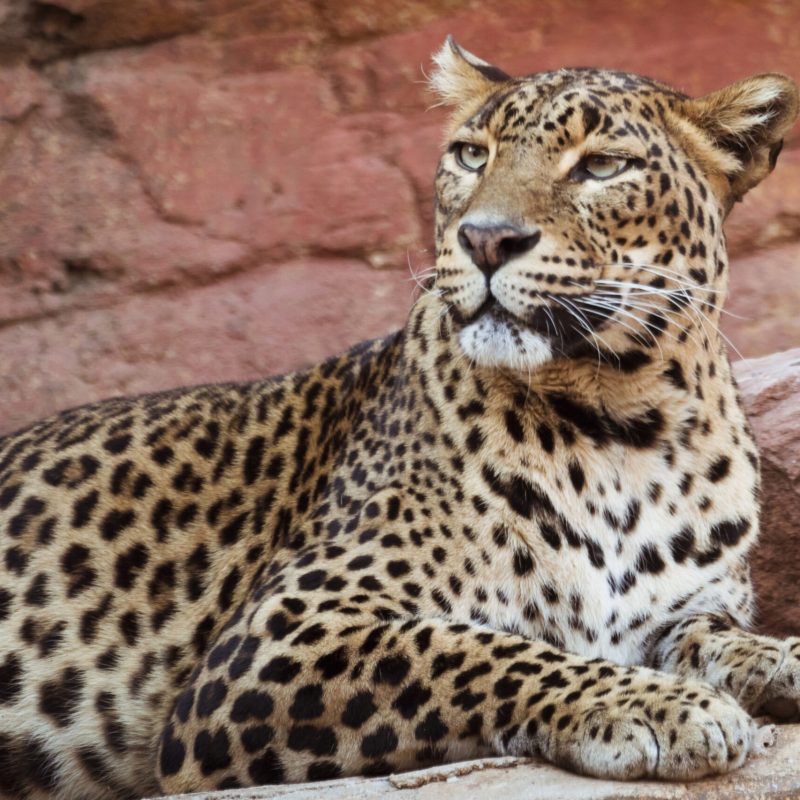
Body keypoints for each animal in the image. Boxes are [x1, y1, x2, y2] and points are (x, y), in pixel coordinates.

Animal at [1, 37, 799, 800]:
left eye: (602, 166)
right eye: (472, 155)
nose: (486, 239)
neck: (626, 424)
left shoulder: (687, 609)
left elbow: (715, 637)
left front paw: (776, 661)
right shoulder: (280, 633)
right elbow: (478, 651)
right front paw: (658, 705)